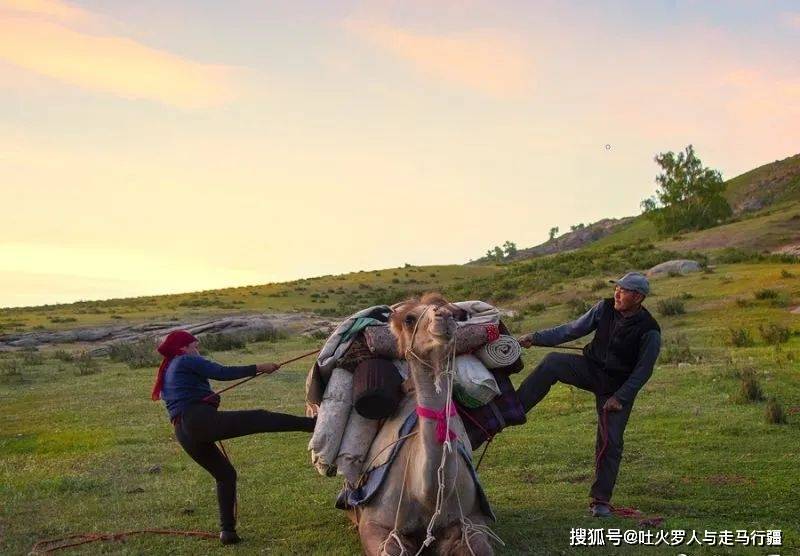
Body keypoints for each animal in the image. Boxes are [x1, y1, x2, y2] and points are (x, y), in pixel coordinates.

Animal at [348, 294, 496, 552]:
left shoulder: (473, 516)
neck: (427, 495)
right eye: (409, 319)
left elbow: (479, 545)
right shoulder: (374, 522)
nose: (444, 317)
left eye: (454, 313)